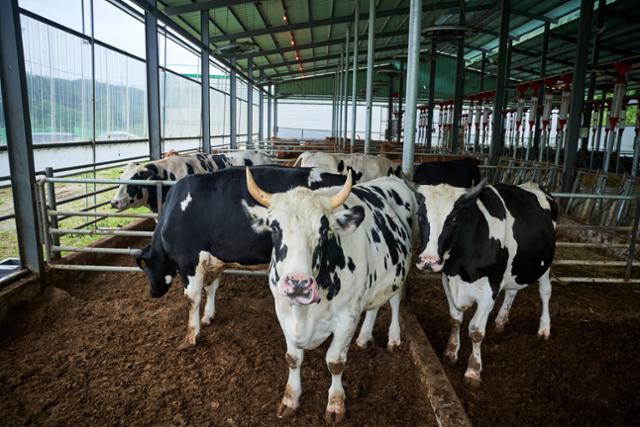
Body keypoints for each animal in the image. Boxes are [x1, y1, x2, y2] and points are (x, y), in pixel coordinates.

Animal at [134, 166, 350, 350]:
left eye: (145, 268)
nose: (152, 293)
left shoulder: (189, 260)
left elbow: (192, 298)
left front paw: (191, 335)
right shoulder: (214, 260)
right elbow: (211, 287)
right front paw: (208, 316)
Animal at [242, 169, 418, 422]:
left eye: (324, 230)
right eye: (274, 228)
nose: (298, 283)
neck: (304, 312)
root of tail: (392, 179)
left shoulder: (347, 317)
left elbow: (335, 362)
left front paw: (335, 404)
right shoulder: (282, 312)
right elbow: (292, 358)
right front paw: (290, 399)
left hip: (400, 272)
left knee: (394, 302)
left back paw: (394, 337)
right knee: (374, 305)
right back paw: (364, 337)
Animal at [412, 179, 556, 386]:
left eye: (453, 218)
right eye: (421, 216)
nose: (428, 261)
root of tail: (533, 185)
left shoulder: (489, 290)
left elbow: (476, 331)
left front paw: (473, 370)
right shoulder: (448, 280)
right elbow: (455, 319)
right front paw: (451, 353)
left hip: (545, 265)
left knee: (545, 293)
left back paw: (544, 329)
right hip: (515, 267)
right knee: (512, 291)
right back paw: (501, 321)